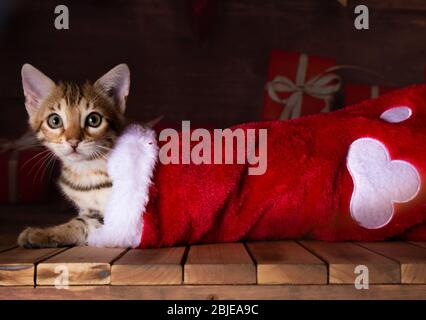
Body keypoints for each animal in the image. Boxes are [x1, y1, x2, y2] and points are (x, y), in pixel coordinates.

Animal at [17, 63, 130, 248]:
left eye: (94, 120)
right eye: (55, 120)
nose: (73, 141)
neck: (85, 173)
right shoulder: (91, 211)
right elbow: (80, 222)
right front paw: (45, 233)